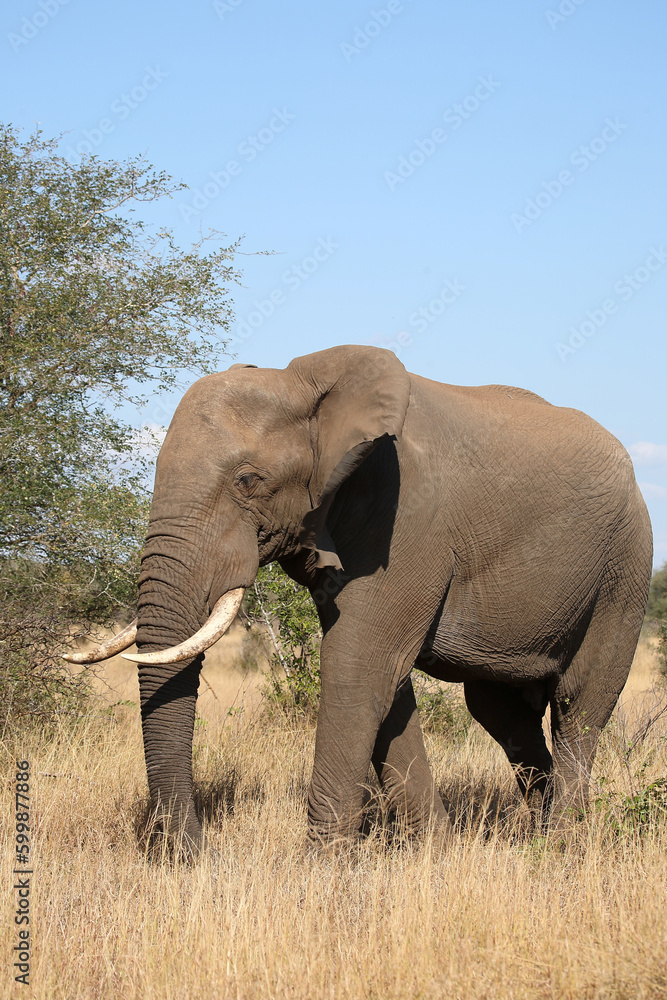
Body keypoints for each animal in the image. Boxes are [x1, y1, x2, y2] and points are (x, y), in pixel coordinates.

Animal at [65, 345, 652, 855]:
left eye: (248, 480)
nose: (202, 853)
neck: (305, 384)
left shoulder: (407, 517)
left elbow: (358, 662)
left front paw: (320, 873)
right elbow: (385, 682)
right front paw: (433, 854)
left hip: (625, 568)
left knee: (578, 705)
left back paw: (561, 847)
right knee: (501, 713)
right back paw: (535, 833)